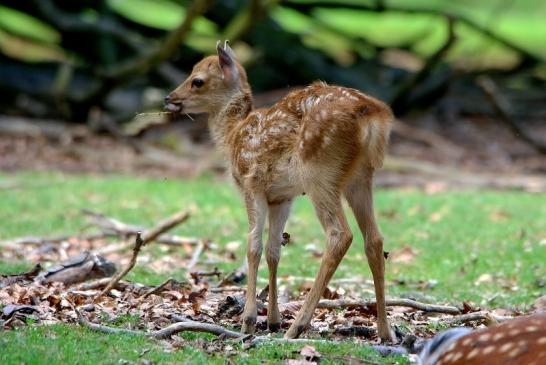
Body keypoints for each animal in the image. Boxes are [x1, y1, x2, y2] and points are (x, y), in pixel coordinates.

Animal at [164, 42, 394, 342]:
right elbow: (274, 250)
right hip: (361, 176)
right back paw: (385, 331)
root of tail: (373, 114)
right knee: (375, 239)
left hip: (319, 171)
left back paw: (298, 326)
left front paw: (249, 321)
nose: (169, 98)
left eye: (197, 81)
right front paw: (272, 321)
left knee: (340, 235)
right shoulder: (283, 197)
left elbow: (253, 246)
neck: (234, 136)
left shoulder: (252, 184)